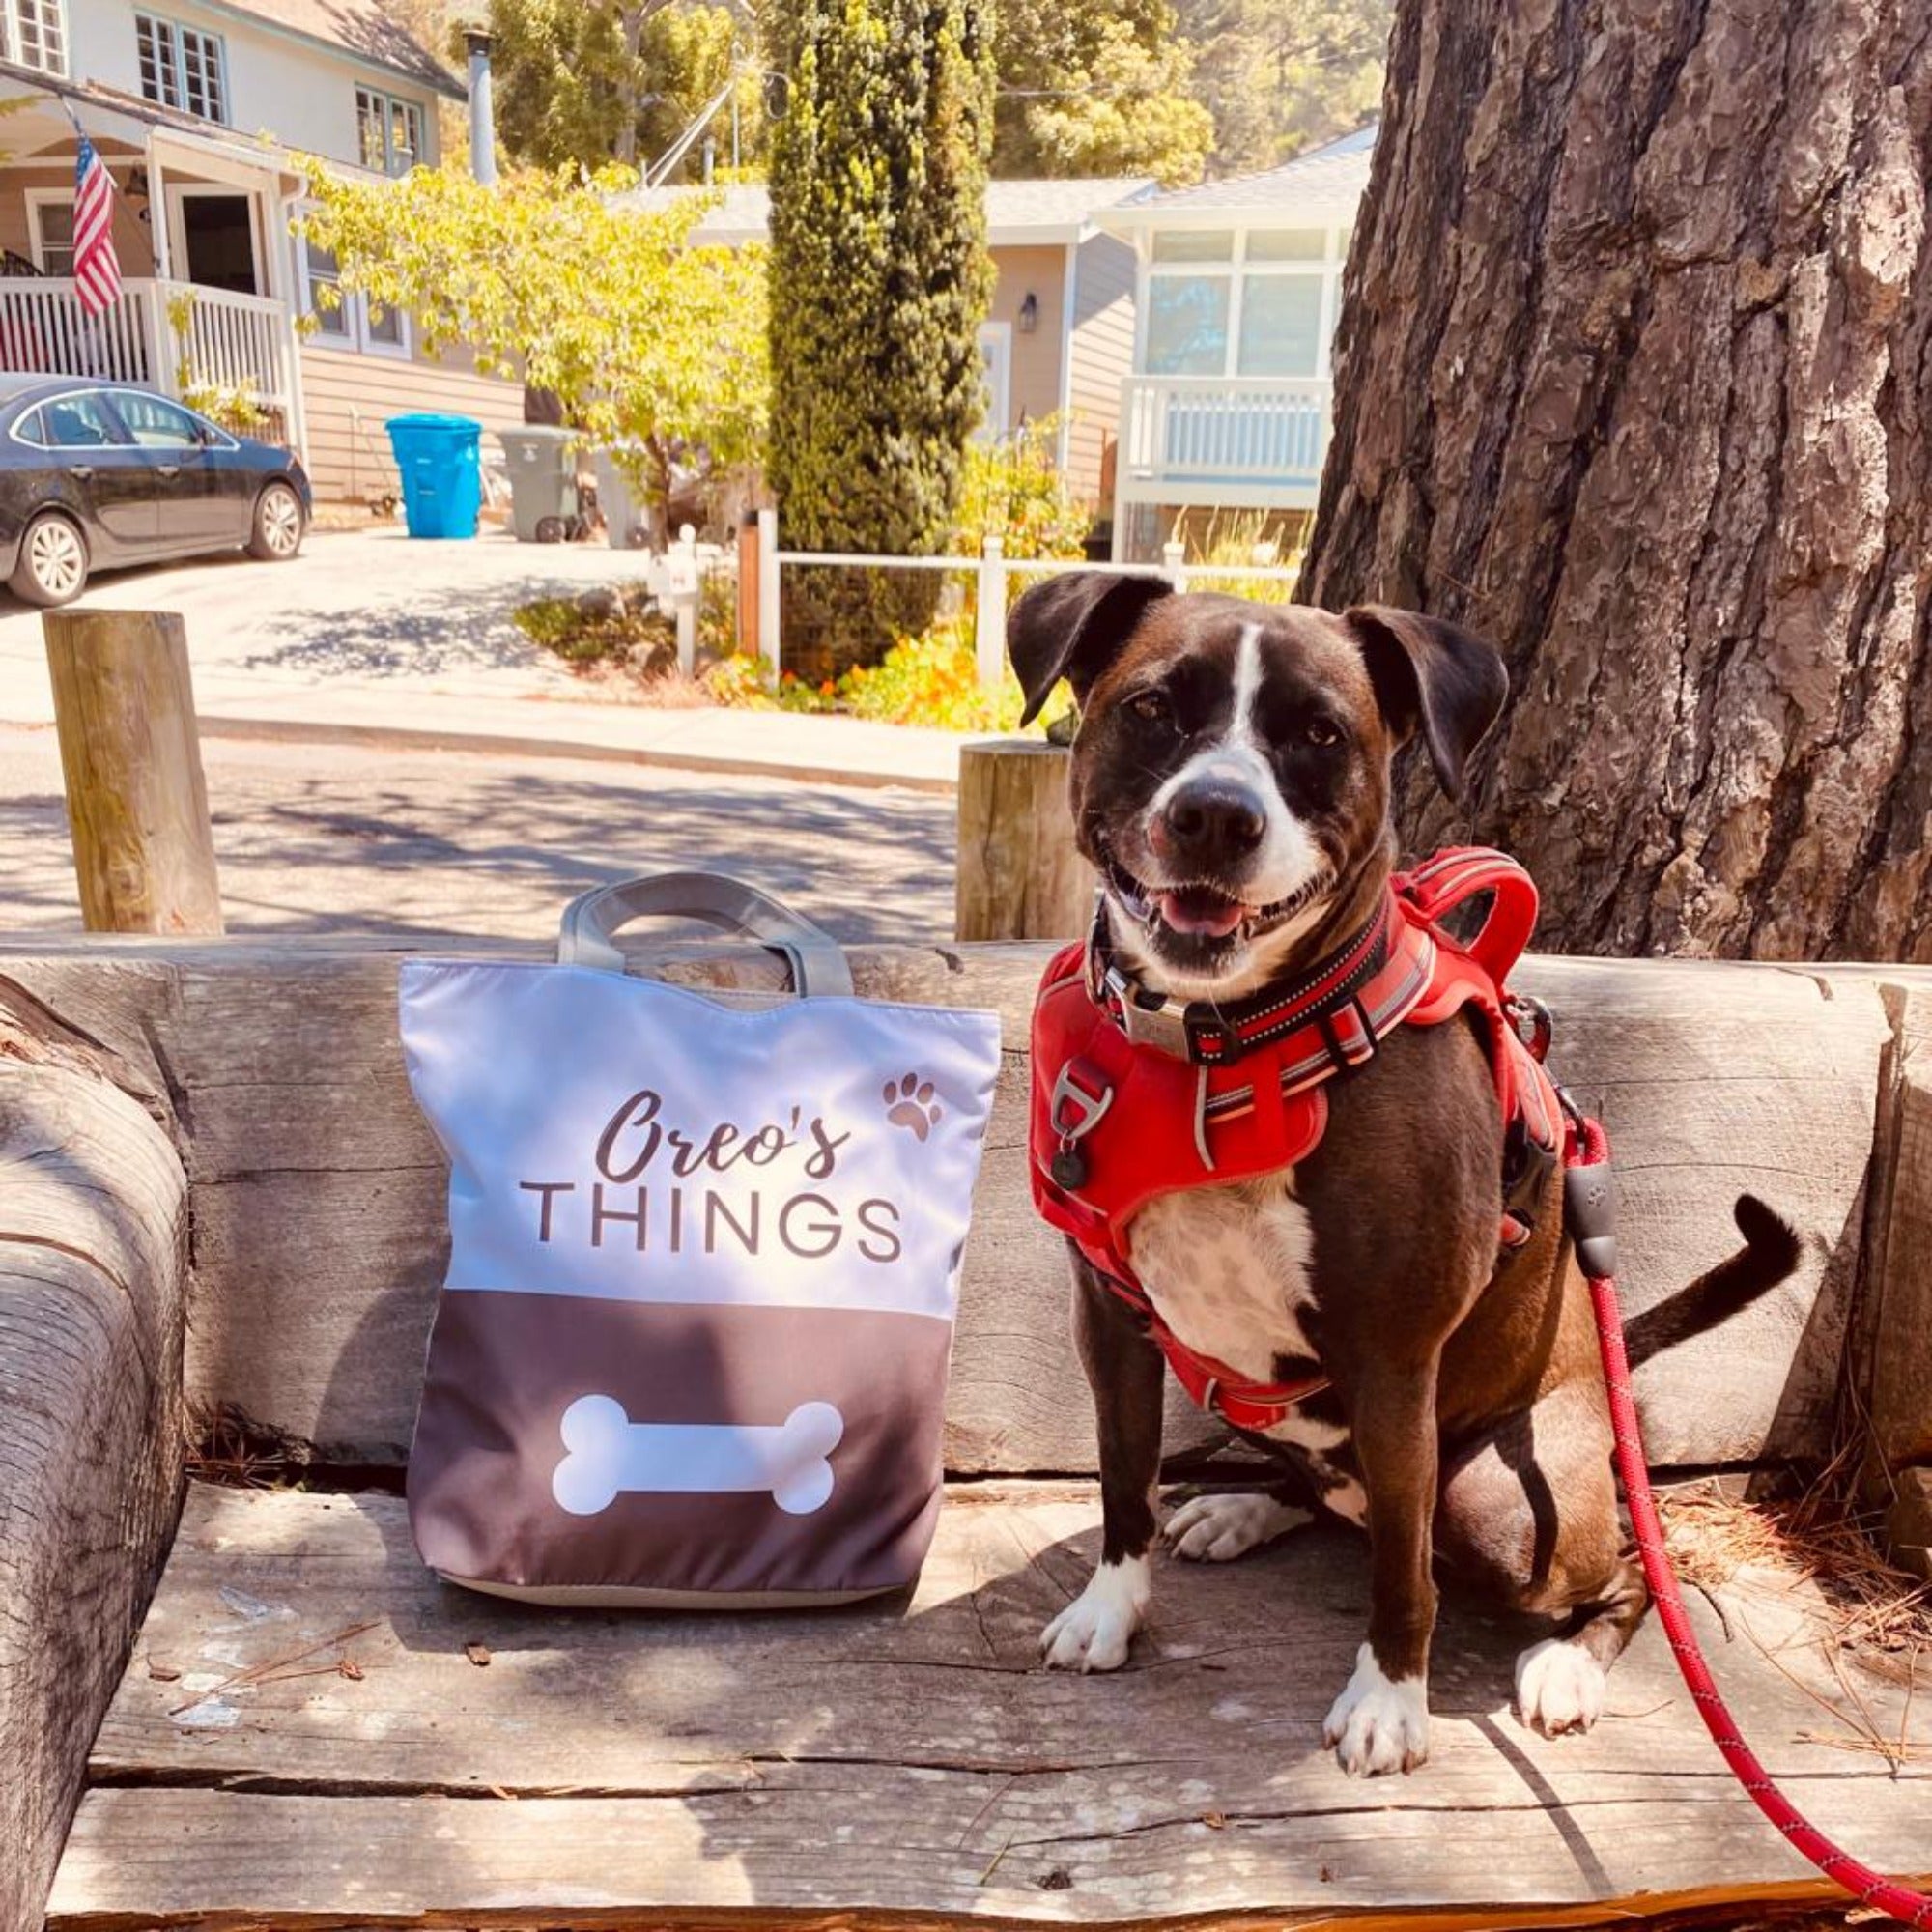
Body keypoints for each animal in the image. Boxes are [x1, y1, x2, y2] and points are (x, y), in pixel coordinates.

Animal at [1005, 576, 1801, 1777]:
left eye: (1318, 735)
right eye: (1151, 708)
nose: (1214, 815)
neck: (1222, 1046)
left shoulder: (1390, 1360)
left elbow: (1400, 1577)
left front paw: (1388, 1697)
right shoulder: (1111, 1320)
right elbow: (1121, 1475)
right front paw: (1109, 1606)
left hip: (1497, 1500)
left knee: (1606, 1565)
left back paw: (1566, 1662)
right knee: (1337, 1492)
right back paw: (1246, 1507)